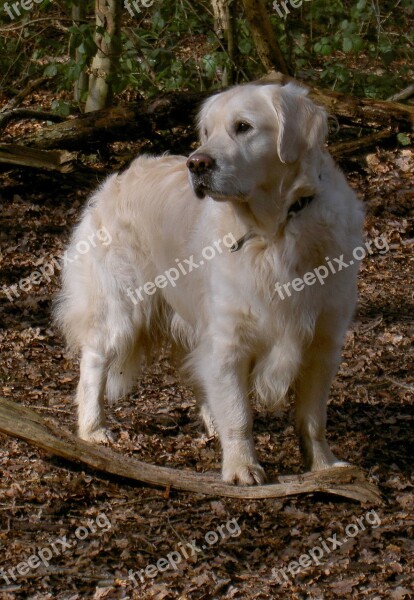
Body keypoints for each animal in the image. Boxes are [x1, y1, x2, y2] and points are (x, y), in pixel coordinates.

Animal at [54, 81, 362, 482]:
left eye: (243, 127)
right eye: (206, 132)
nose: (196, 163)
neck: (274, 232)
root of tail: (113, 181)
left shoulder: (322, 342)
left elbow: (312, 418)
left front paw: (323, 467)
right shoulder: (229, 339)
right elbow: (239, 414)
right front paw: (242, 468)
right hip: (120, 308)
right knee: (93, 362)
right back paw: (92, 428)